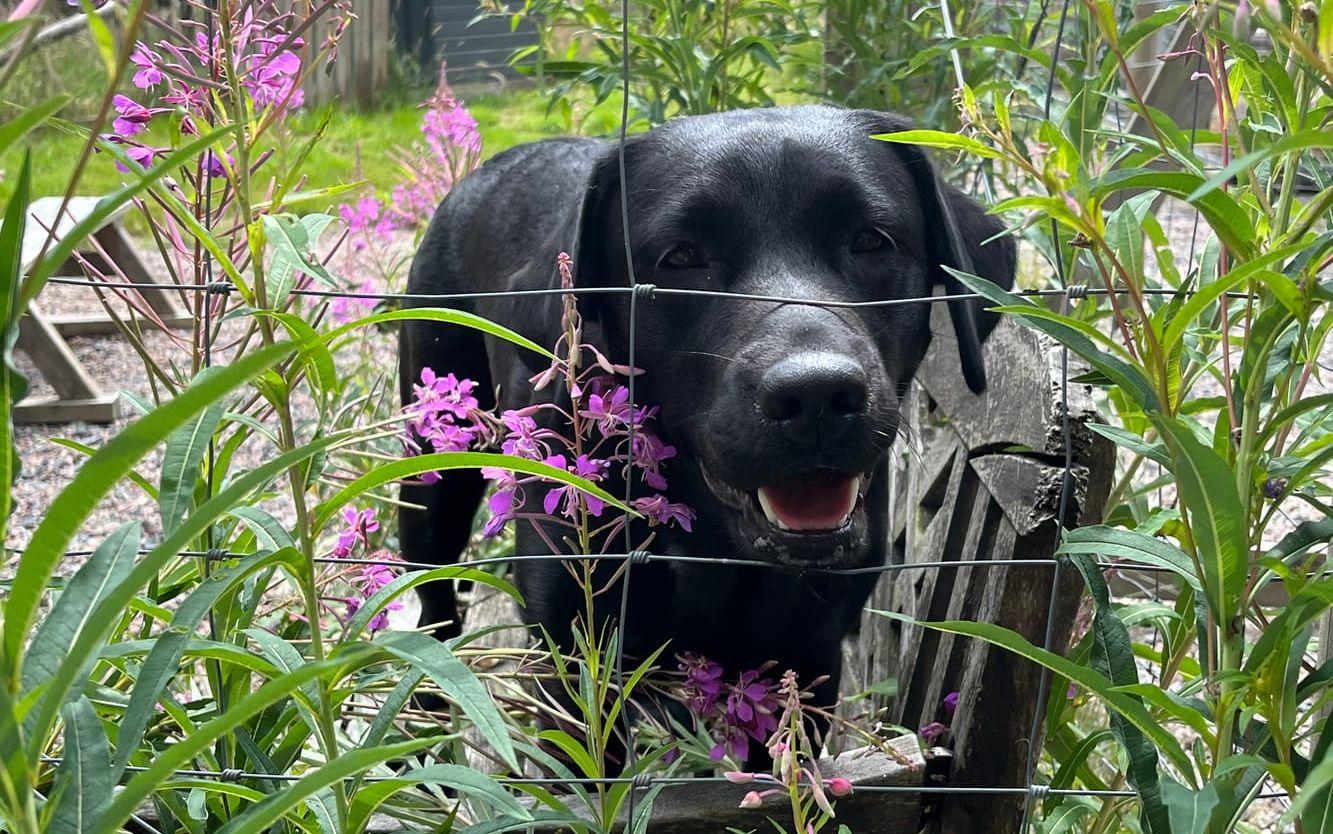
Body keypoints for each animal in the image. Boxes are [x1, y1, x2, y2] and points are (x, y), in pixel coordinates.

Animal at [399, 102, 1013, 724]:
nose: (815, 396)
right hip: (433, 471)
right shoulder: (573, 660)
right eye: (682, 257)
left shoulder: (812, 656)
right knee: (433, 600)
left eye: (870, 240)